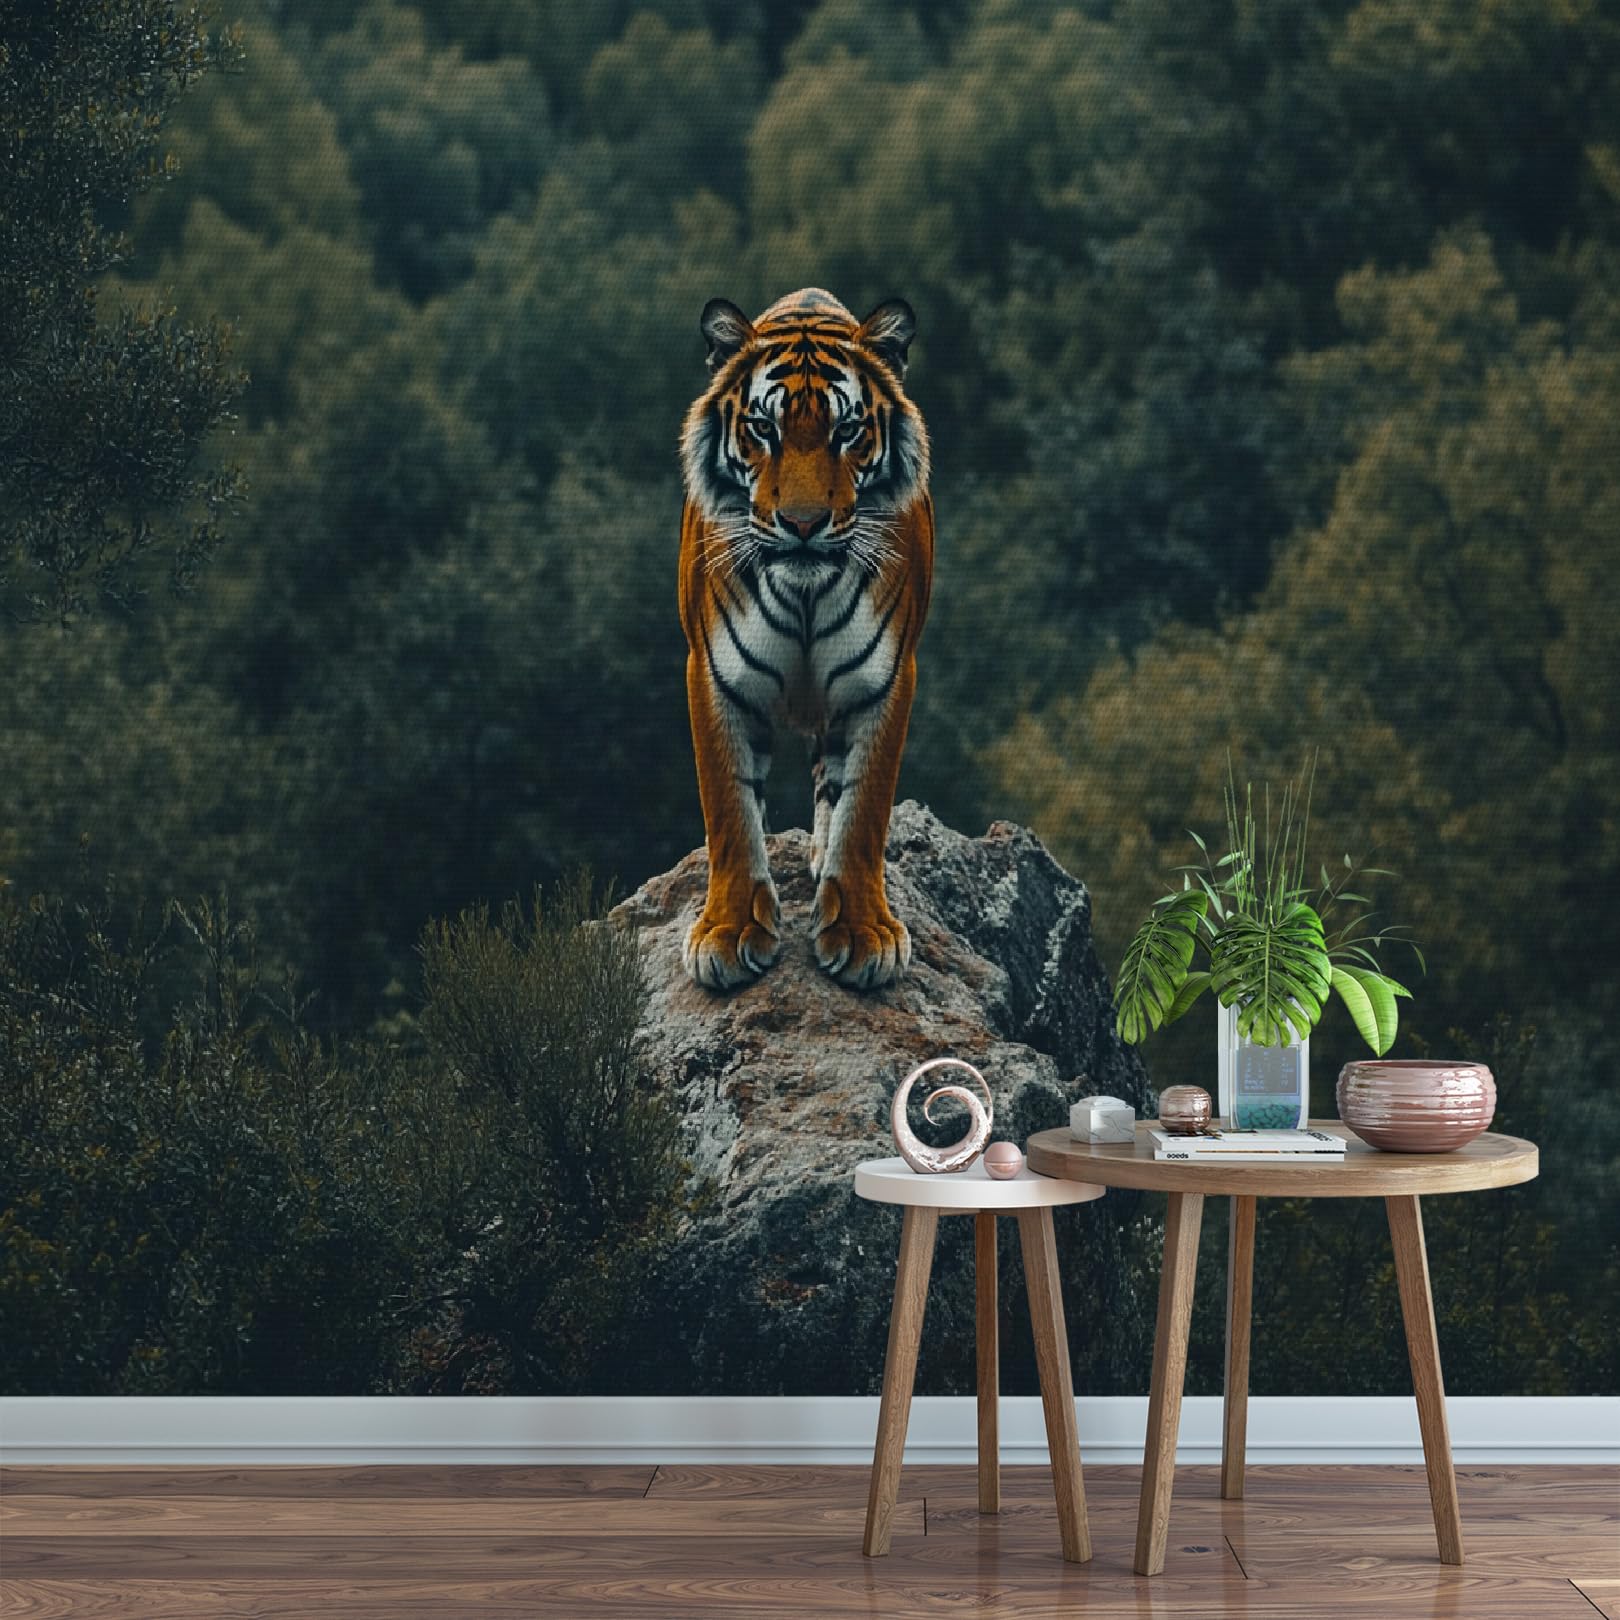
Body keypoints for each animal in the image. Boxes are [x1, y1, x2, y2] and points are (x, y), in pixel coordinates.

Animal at [677, 287, 935, 992]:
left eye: (847, 432)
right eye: (762, 429)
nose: (801, 523)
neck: (805, 595)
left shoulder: (885, 679)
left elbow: (865, 808)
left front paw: (863, 933)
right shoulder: (713, 674)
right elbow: (729, 809)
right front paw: (729, 932)